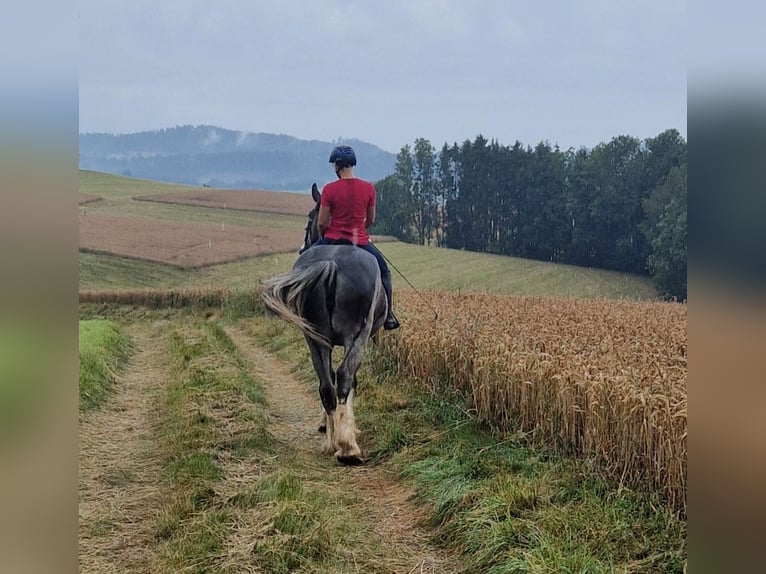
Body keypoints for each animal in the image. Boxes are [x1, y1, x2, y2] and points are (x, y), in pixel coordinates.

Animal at [262, 184, 390, 468]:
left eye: (309, 217)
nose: (302, 246)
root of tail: (331, 263)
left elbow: (330, 377)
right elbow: (351, 380)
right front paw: (348, 428)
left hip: (314, 336)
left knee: (326, 385)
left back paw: (334, 442)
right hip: (358, 334)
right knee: (343, 378)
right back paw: (347, 447)